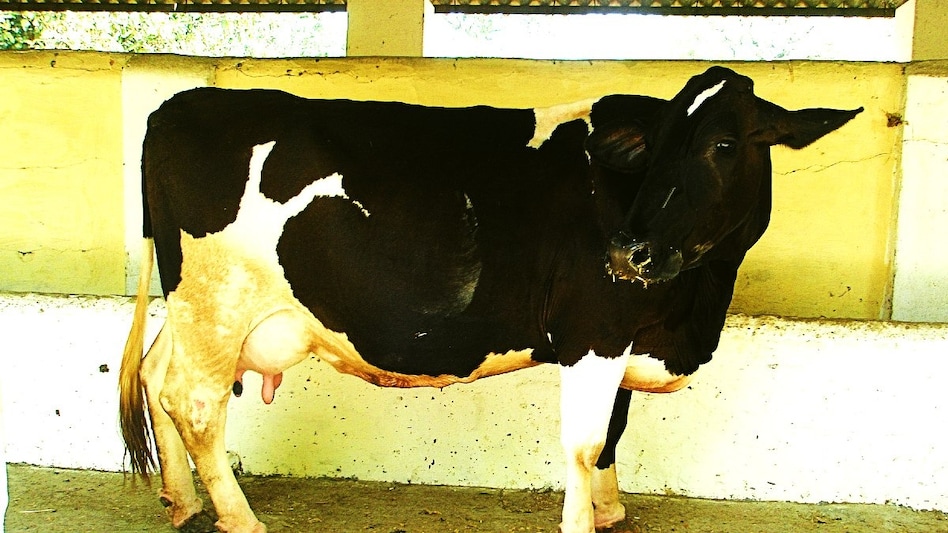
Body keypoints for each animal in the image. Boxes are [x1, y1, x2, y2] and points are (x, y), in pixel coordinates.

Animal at [119, 66, 861, 533]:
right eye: (654, 150)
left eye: (724, 144)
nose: (631, 251)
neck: (696, 307)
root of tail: (178, 105)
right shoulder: (595, 329)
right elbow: (586, 442)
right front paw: (582, 520)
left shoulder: (623, 336)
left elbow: (616, 431)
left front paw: (611, 510)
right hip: (218, 301)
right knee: (194, 401)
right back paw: (239, 517)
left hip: (193, 308)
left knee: (155, 374)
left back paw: (181, 500)